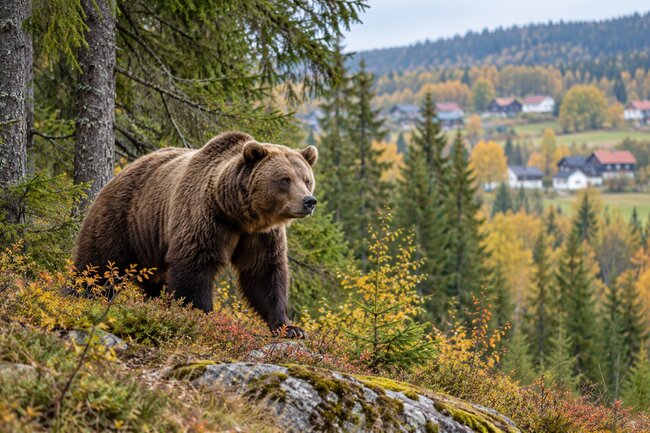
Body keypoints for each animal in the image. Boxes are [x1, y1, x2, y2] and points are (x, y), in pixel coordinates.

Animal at [74, 131, 318, 338]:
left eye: (306, 179)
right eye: (284, 179)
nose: (309, 201)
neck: (237, 214)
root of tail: (119, 173)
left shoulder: (261, 236)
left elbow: (264, 272)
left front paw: (290, 328)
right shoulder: (204, 217)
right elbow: (195, 264)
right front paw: (203, 315)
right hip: (124, 219)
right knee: (101, 262)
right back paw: (82, 293)